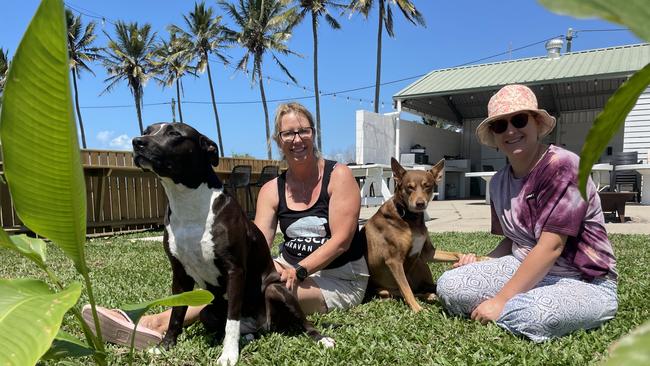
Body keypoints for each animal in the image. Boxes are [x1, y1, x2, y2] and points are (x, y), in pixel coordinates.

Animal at [132, 122, 334, 364]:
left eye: (174, 133)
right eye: (147, 130)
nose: (137, 142)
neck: (188, 202)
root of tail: (262, 325)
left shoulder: (234, 271)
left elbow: (232, 320)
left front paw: (228, 354)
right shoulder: (180, 275)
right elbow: (177, 313)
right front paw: (165, 345)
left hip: (276, 290)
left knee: (302, 321)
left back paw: (321, 339)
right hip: (207, 312)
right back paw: (247, 336)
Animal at [362, 157, 484, 312]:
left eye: (427, 186)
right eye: (409, 187)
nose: (420, 203)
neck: (409, 217)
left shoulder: (428, 252)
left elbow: (456, 254)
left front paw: (481, 258)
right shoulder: (394, 260)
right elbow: (406, 289)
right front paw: (417, 309)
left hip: (420, 262)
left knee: (421, 287)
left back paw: (430, 294)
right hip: (385, 288)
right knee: (404, 292)